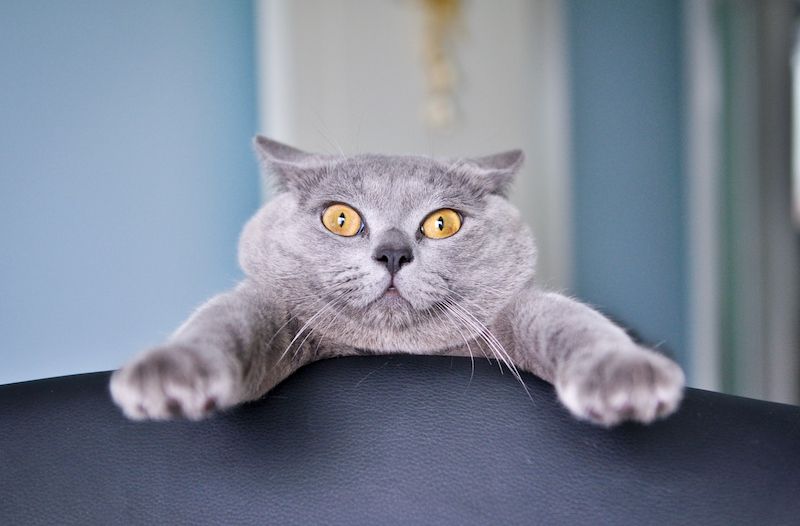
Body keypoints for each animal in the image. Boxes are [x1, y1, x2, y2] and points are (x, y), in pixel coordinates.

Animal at [109, 139, 684, 428]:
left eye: (442, 222)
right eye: (340, 218)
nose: (393, 252)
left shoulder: (513, 311)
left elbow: (571, 323)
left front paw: (624, 375)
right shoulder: (276, 310)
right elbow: (225, 321)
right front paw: (171, 374)